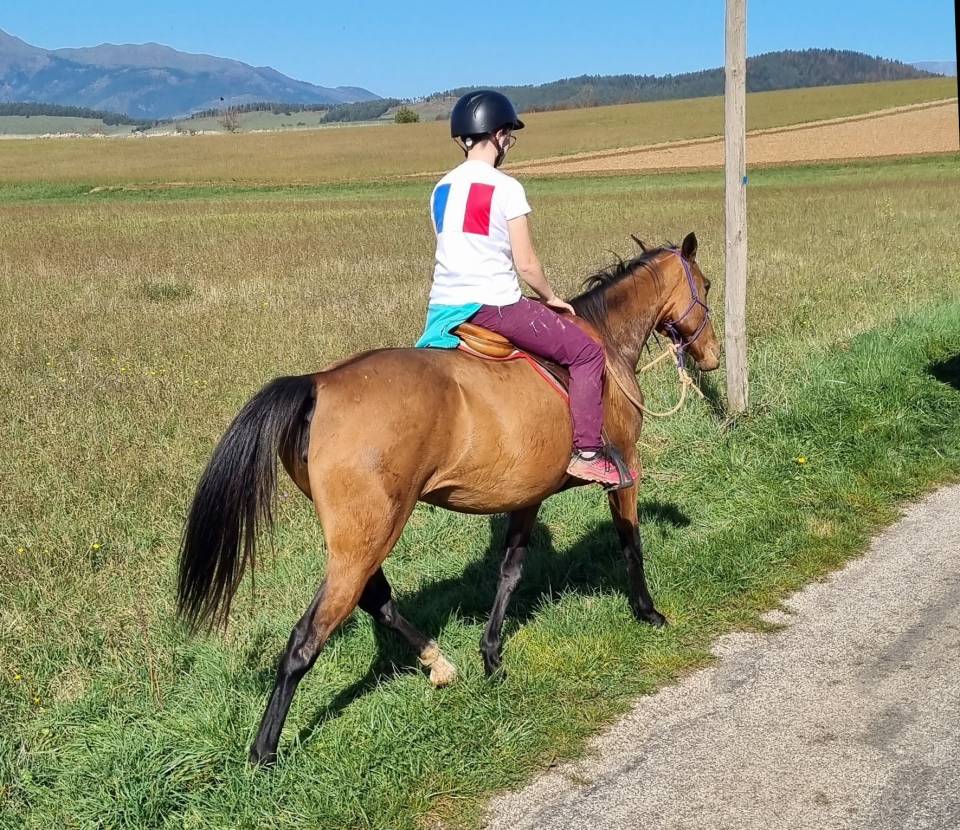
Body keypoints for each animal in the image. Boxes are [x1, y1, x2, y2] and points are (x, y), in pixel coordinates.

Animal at [177, 231, 720, 765]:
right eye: (708, 284)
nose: (712, 356)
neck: (606, 343)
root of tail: (319, 383)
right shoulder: (626, 471)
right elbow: (631, 543)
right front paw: (648, 612)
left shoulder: (528, 495)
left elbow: (510, 570)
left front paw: (492, 655)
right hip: (366, 538)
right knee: (306, 638)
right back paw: (264, 752)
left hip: (365, 534)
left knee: (377, 601)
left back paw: (437, 663)